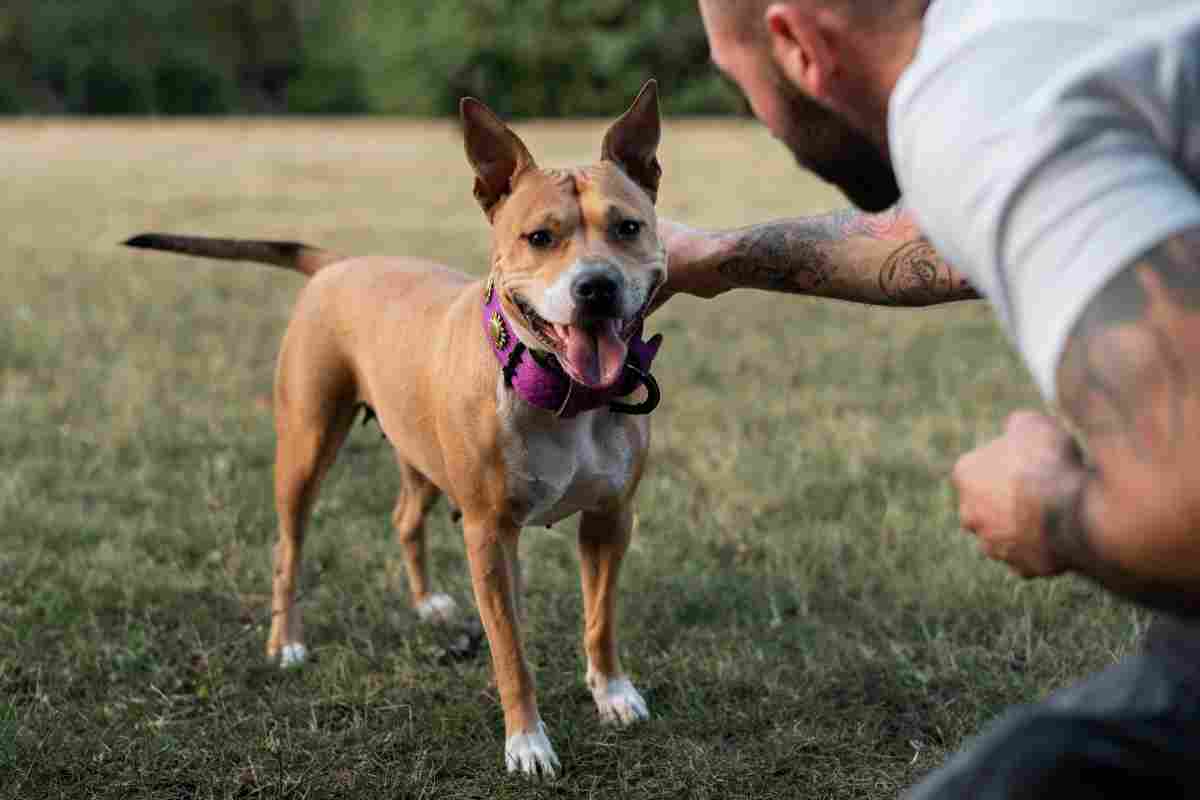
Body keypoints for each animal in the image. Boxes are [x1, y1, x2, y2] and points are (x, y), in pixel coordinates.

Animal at [126, 79, 672, 777]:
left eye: (628, 227)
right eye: (540, 237)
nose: (596, 287)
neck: (560, 393)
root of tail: (337, 263)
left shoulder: (610, 519)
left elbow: (600, 619)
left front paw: (612, 693)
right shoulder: (488, 532)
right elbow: (511, 653)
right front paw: (527, 741)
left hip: (419, 452)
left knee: (406, 517)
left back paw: (426, 603)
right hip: (305, 447)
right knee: (288, 548)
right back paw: (287, 642)